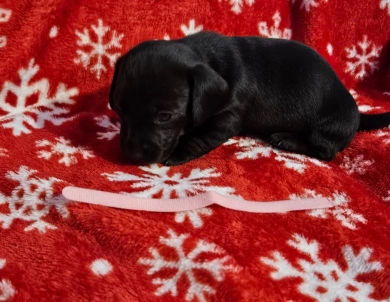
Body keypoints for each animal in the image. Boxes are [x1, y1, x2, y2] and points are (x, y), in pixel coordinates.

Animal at [109, 31, 390, 166]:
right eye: (120, 110)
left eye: (164, 116)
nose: (132, 155)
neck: (210, 60)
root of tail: (357, 115)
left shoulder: (228, 116)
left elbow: (201, 136)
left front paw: (179, 152)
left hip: (326, 130)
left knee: (326, 151)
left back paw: (288, 140)